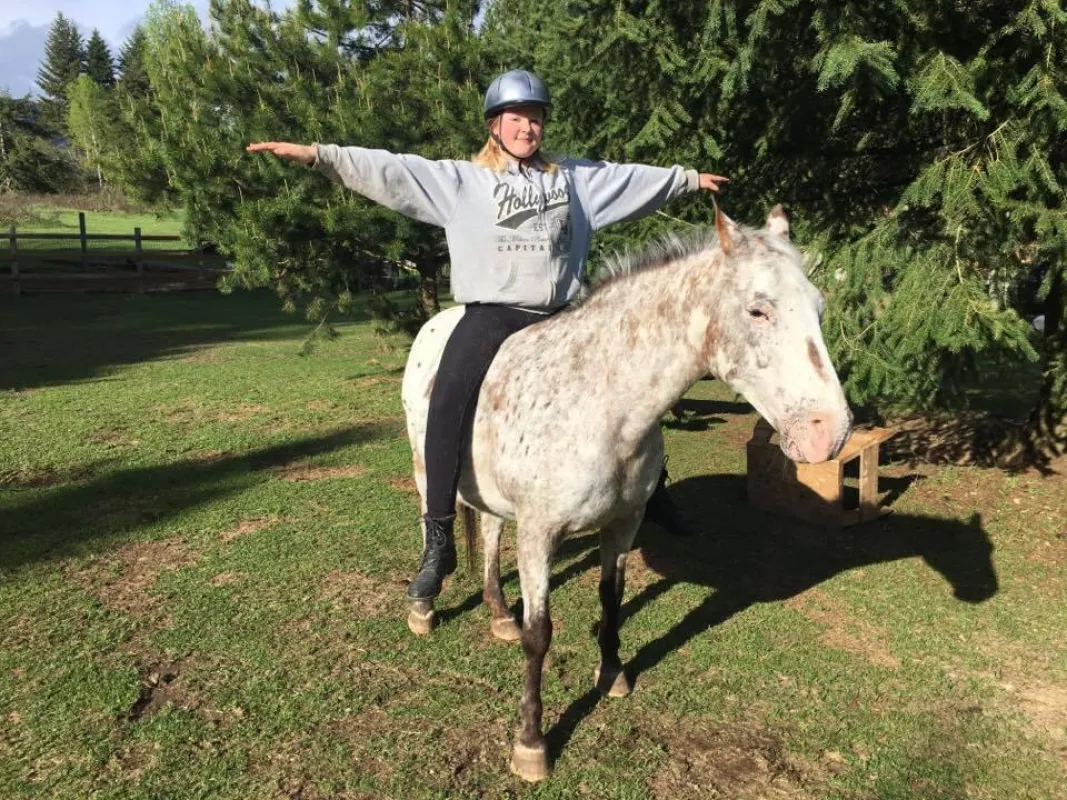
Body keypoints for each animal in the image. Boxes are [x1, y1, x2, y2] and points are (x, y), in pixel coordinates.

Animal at [399, 205, 852, 781]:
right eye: (758, 311)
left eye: (818, 307)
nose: (830, 432)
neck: (600, 405)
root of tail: (438, 323)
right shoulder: (539, 534)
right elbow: (539, 635)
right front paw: (531, 743)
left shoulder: (623, 523)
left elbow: (610, 600)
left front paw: (612, 673)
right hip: (424, 469)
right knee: (431, 523)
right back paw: (425, 602)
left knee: (491, 530)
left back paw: (499, 612)